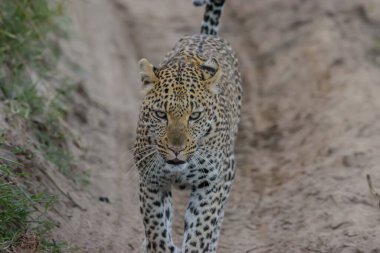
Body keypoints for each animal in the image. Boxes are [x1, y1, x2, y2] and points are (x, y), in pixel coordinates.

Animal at [134, 0, 240, 252]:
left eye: (195, 116)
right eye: (161, 114)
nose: (176, 150)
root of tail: (205, 34)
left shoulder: (210, 185)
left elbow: (200, 231)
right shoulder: (151, 182)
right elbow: (157, 232)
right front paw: (158, 244)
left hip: (228, 169)